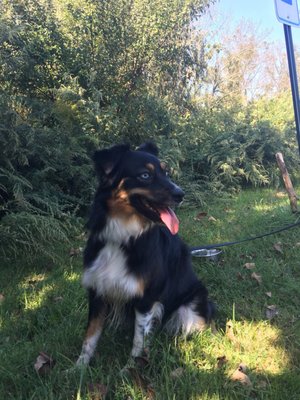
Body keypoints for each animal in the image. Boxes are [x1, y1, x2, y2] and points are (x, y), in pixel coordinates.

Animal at [76, 141, 214, 366]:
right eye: (145, 175)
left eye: (165, 172)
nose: (181, 194)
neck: (123, 238)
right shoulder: (97, 291)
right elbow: (90, 336)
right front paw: (78, 368)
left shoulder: (147, 300)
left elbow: (138, 340)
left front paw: (130, 369)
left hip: (190, 308)